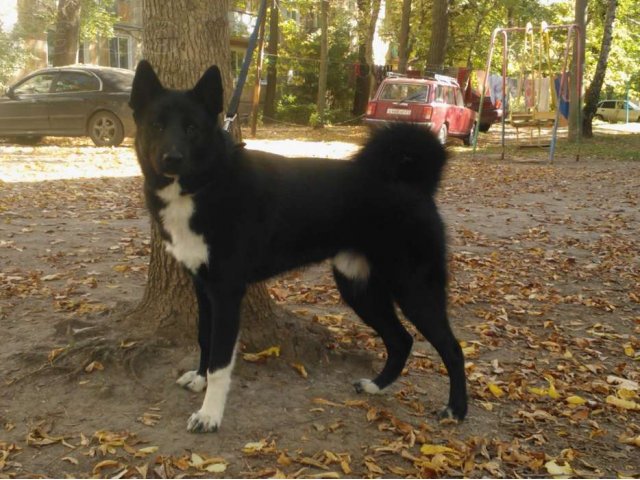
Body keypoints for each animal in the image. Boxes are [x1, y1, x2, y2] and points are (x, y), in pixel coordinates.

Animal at [130, 61, 468, 436]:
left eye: (192, 128)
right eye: (157, 125)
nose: (171, 158)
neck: (205, 184)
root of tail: (415, 184)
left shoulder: (227, 292)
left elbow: (220, 360)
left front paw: (209, 414)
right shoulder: (203, 287)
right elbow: (205, 338)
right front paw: (200, 380)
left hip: (414, 288)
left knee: (452, 348)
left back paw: (456, 410)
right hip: (359, 288)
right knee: (401, 340)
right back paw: (376, 386)